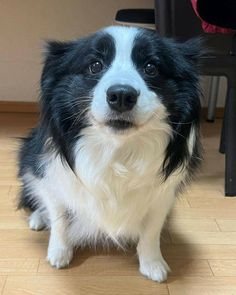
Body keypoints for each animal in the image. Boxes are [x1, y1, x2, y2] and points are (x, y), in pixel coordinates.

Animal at [18, 25, 202, 282]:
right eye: (95, 65)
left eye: (151, 67)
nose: (122, 95)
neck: (117, 150)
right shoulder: (50, 175)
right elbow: (59, 214)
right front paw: (59, 252)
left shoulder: (163, 194)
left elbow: (152, 229)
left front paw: (153, 263)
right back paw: (38, 217)